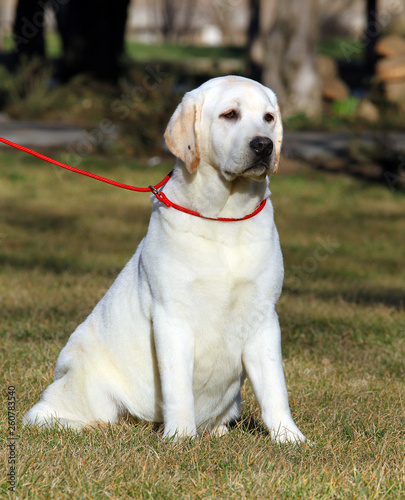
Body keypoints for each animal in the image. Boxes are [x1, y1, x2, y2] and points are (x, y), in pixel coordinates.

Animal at [22, 74, 304, 442]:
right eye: (230, 114)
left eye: (269, 118)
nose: (264, 145)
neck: (224, 217)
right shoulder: (172, 317)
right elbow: (177, 386)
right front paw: (180, 437)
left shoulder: (263, 317)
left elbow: (274, 387)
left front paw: (289, 437)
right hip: (83, 382)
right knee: (47, 416)